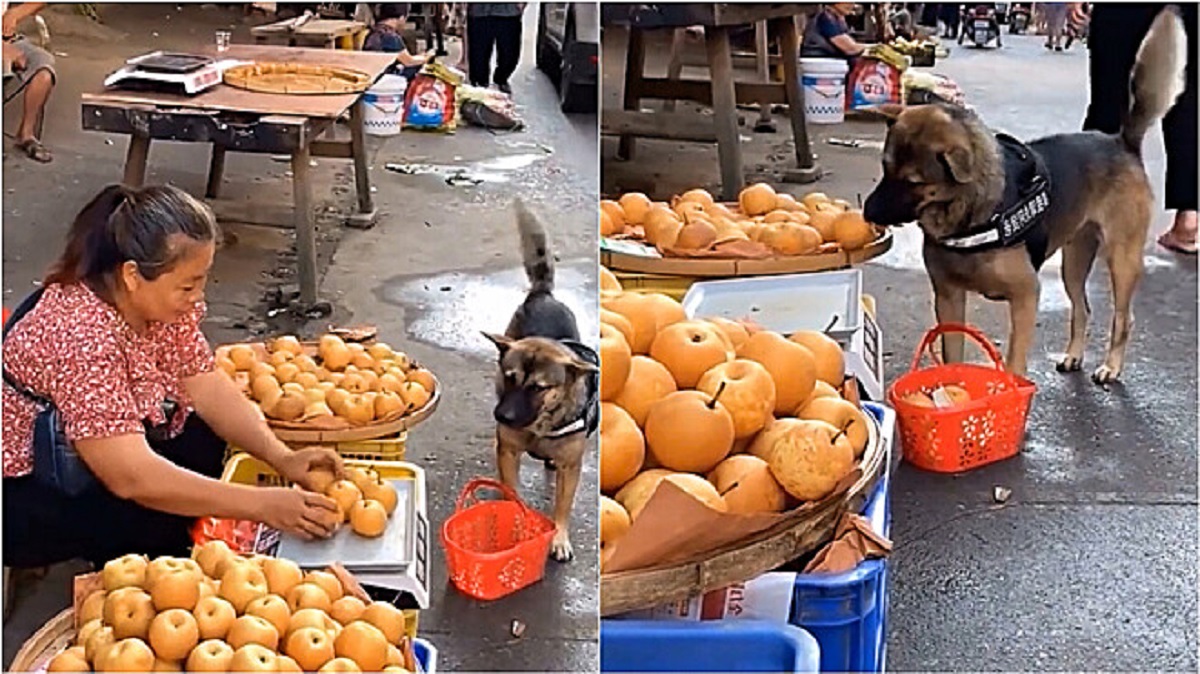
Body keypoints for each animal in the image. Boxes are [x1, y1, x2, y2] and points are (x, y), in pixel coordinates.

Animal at [484, 199, 597, 561]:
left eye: (538, 387)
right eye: (510, 378)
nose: (502, 416)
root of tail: (542, 294)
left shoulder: (571, 467)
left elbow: (563, 505)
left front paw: (559, 538)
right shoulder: (508, 451)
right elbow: (511, 490)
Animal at [859, 7, 1185, 381]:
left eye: (913, 181)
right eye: (885, 168)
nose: (867, 212)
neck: (968, 215)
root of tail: (1122, 142)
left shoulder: (1026, 295)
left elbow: (1015, 361)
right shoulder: (949, 297)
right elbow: (952, 351)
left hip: (1122, 259)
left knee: (1122, 317)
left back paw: (1111, 366)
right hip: (1074, 262)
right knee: (1082, 309)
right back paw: (1074, 355)